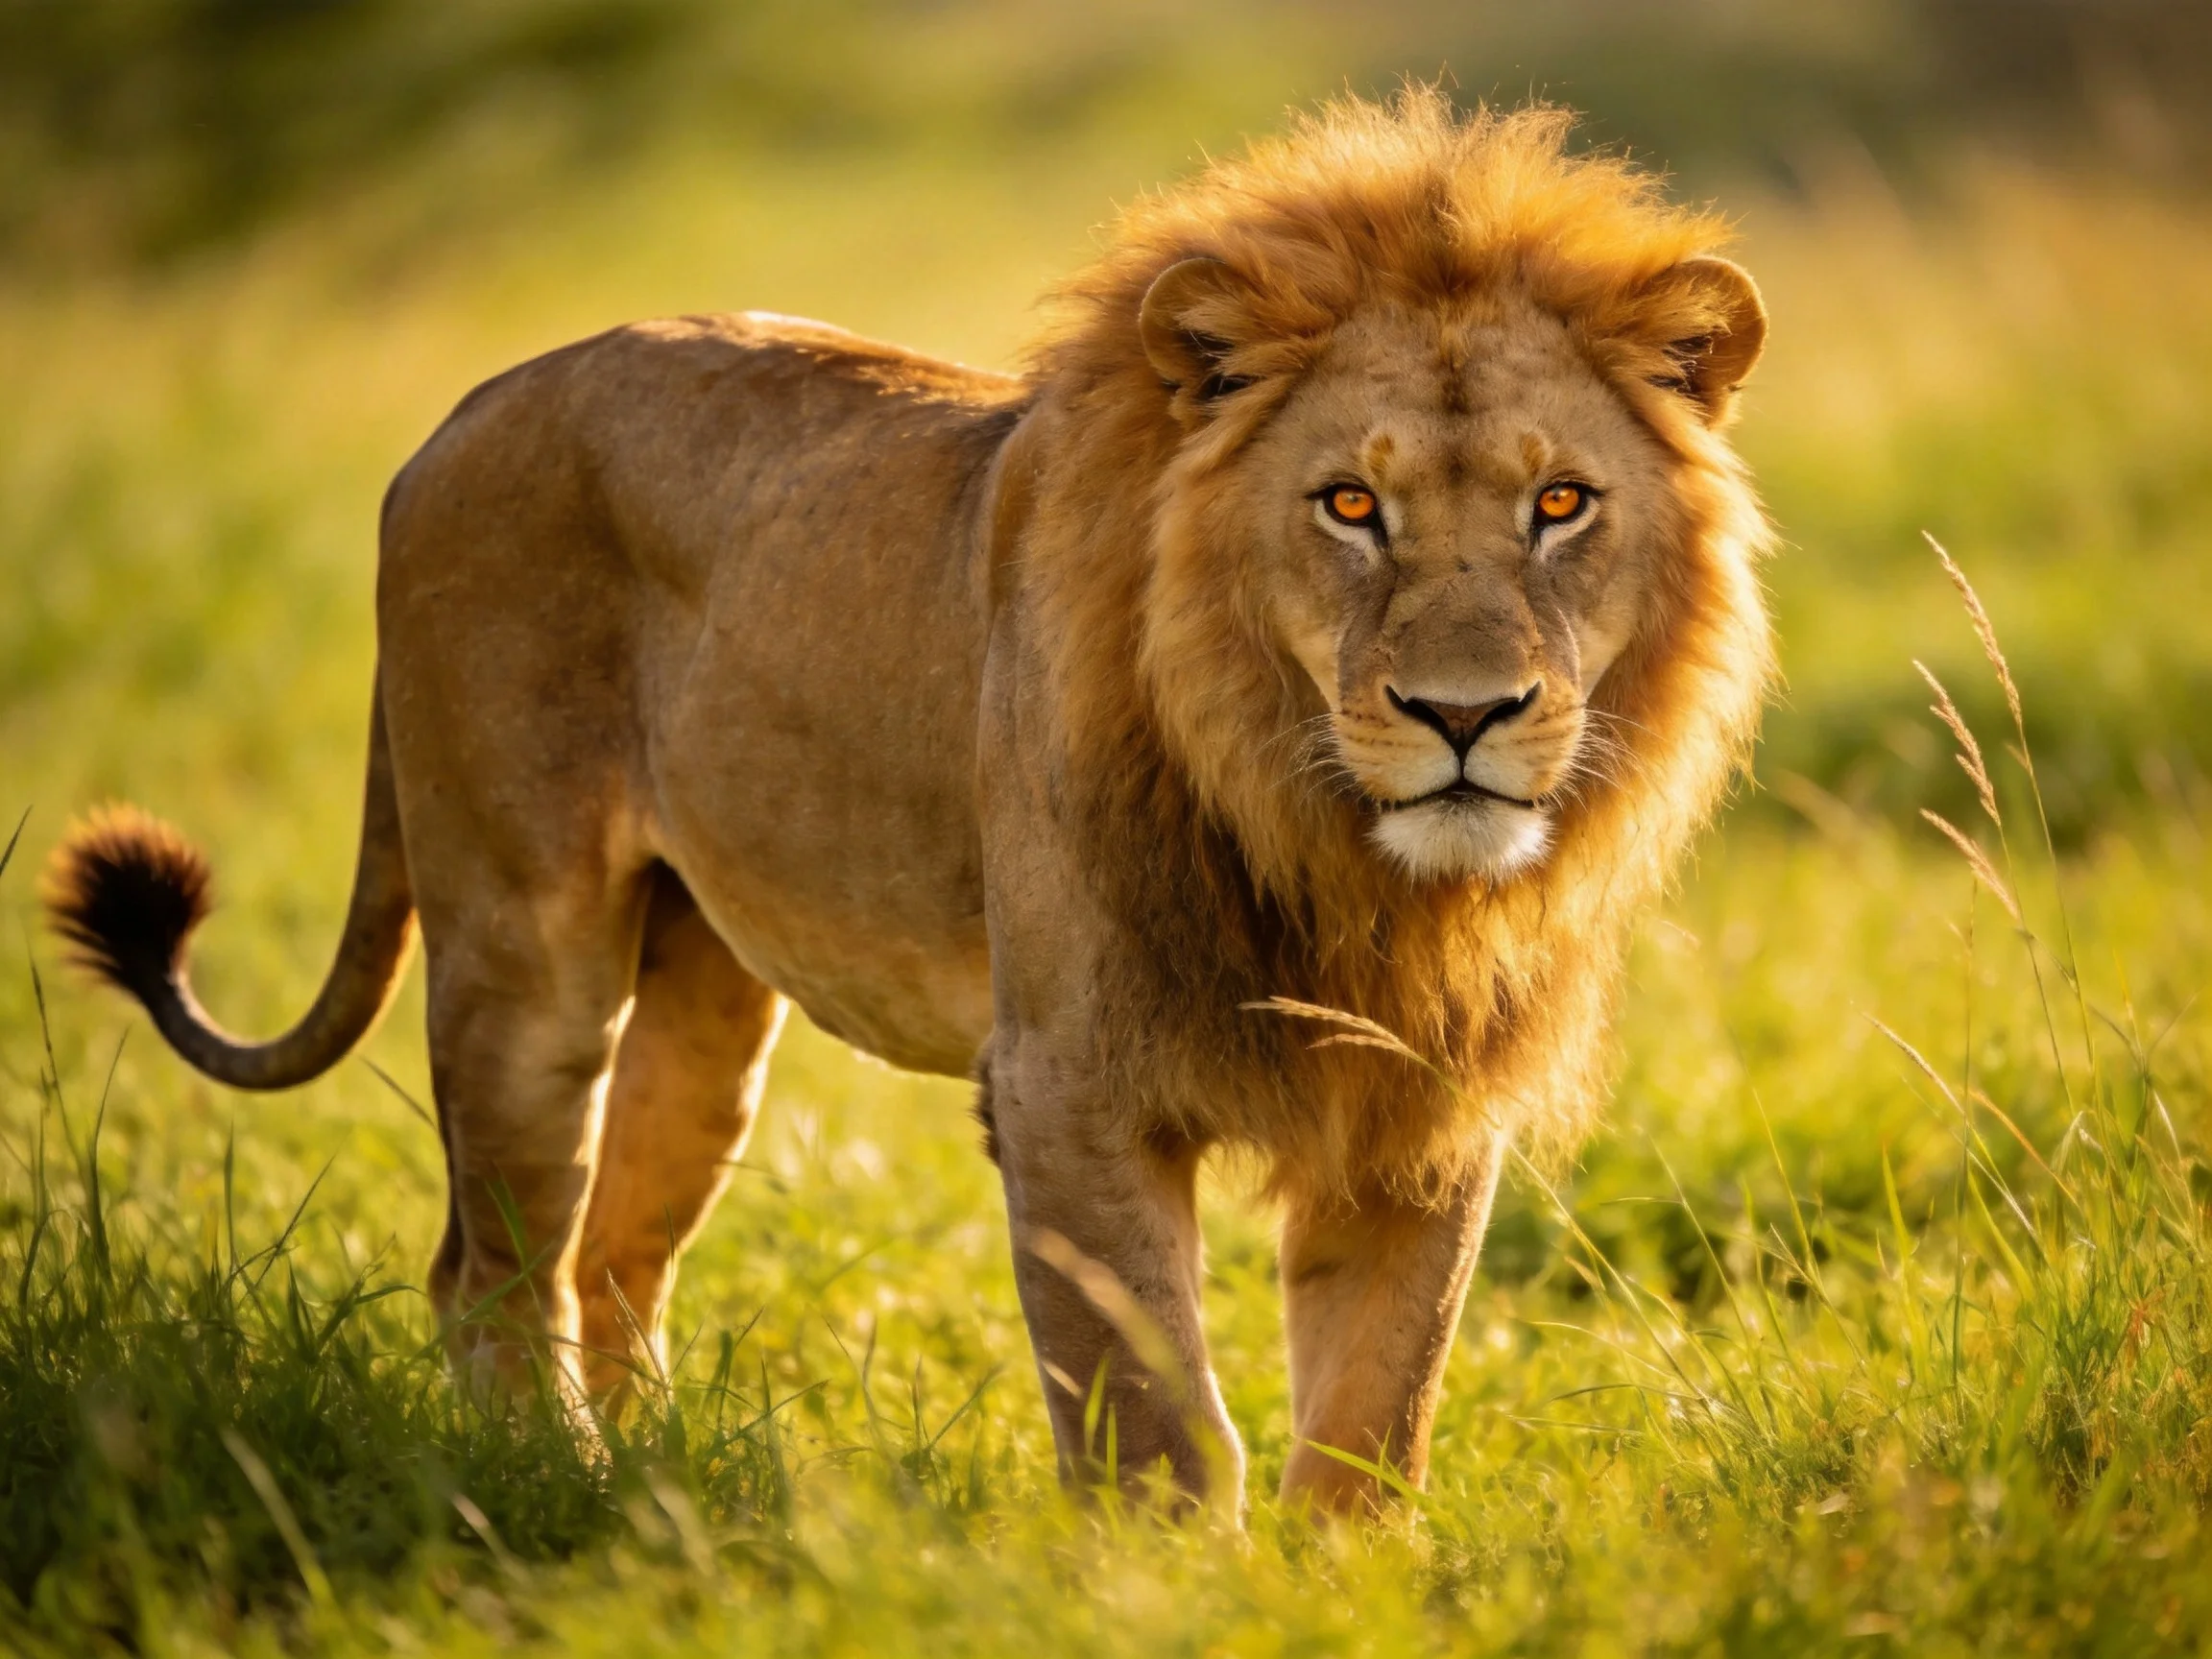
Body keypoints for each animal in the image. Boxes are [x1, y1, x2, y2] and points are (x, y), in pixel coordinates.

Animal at [43, 93, 1771, 1516]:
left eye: (1560, 504)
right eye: (1350, 504)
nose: (1463, 716)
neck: (1329, 845)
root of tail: (464, 410)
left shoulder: (1416, 1104)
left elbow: (1371, 1413)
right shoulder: (1069, 1083)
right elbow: (1154, 1421)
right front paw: (1164, 1592)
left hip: (710, 1003)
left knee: (613, 1258)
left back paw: (659, 1492)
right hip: (522, 946)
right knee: (490, 1263)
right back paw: (550, 1487)